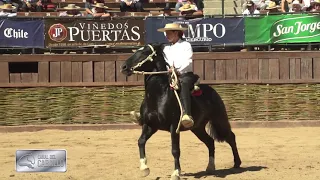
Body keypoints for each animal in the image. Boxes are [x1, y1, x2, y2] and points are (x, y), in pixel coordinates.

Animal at [121, 43, 241, 180]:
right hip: (197, 128)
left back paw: (237, 163)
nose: (124, 67)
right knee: (210, 141)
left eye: (144, 53)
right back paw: (210, 167)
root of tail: (212, 91)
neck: (158, 97)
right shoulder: (150, 125)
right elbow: (141, 141)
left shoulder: (174, 127)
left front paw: (176, 173)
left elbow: (175, 150)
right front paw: (144, 168)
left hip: (219, 120)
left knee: (230, 137)